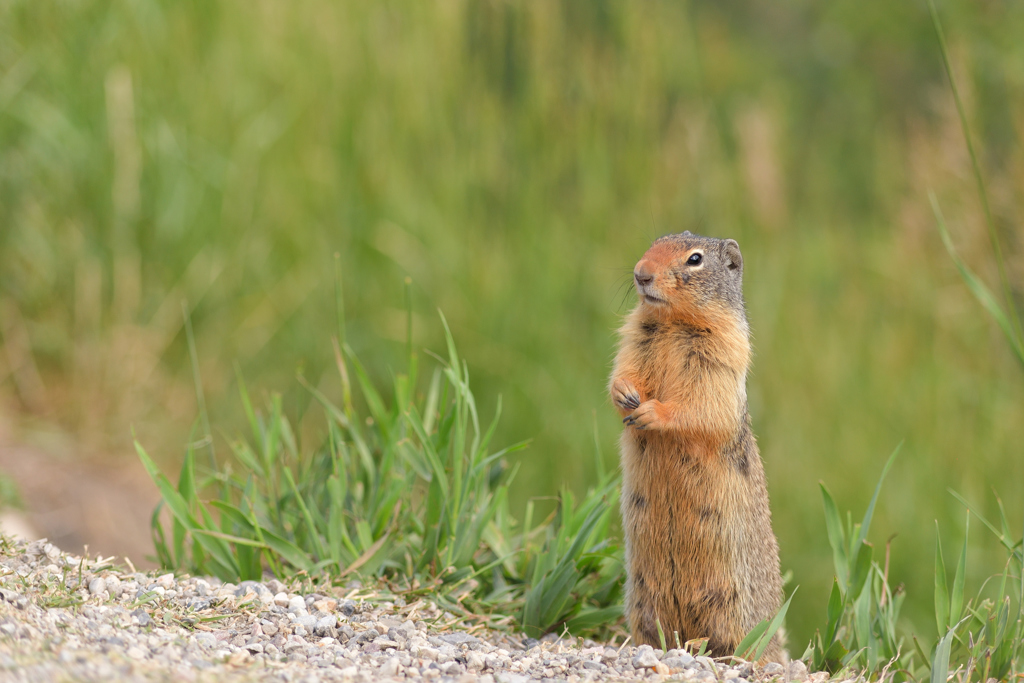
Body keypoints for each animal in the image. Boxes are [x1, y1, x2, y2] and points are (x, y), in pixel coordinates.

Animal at [606, 231, 782, 663]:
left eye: (695, 259)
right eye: (654, 242)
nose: (641, 273)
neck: (673, 323)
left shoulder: (722, 355)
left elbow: (701, 404)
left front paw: (651, 412)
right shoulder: (635, 337)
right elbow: (623, 369)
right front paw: (625, 393)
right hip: (644, 596)